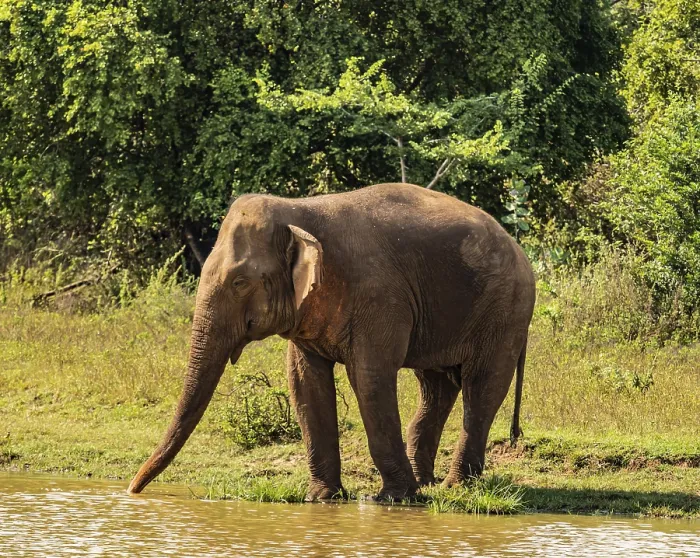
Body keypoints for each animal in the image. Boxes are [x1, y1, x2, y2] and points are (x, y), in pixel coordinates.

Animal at [127, 182, 535, 501]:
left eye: (240, 283)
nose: (132, 490)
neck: (299, 209)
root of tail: (519, 249)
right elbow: (305, 382)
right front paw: (322, 498)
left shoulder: (379, 297)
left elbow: (370, 379)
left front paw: (394, 500)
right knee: (436, 387)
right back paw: (428, 483)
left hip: (505, 312)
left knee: (481, 388)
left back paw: (454, 488)